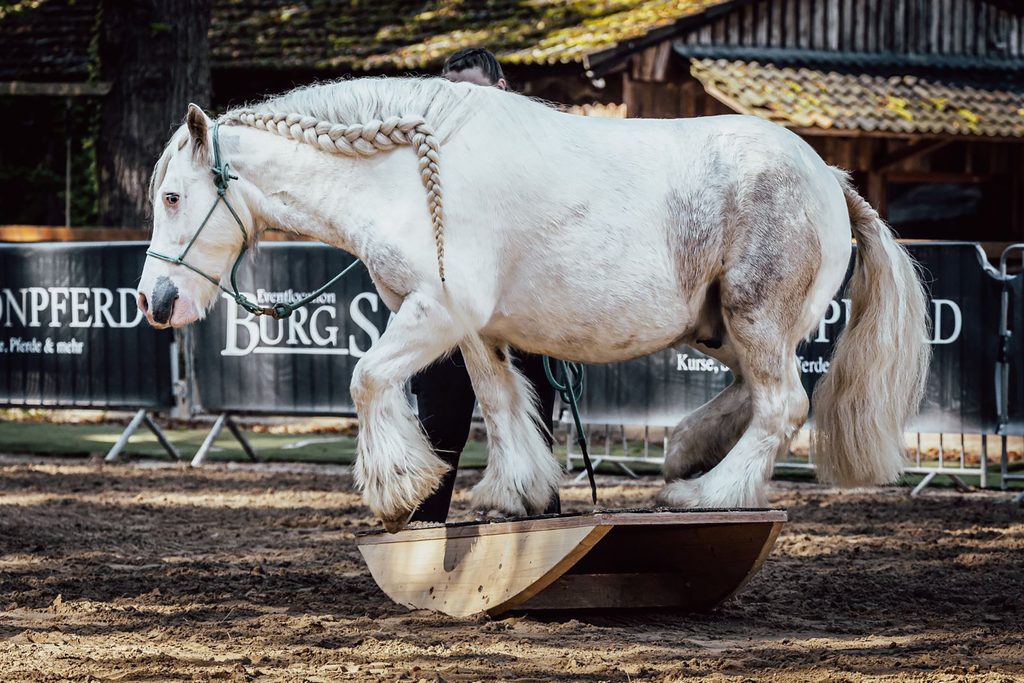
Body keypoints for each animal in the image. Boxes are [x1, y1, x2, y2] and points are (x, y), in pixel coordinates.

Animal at [138, 77, 930, 532]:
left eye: (173, 197)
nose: (156, 300)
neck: (407, 176)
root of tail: (831, 176)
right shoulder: (466, 327)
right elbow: (497, 402)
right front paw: (515, 491)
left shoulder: (434, 314)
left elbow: (367, 379)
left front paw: (397, 488)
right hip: (720, 330)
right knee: (758, 396)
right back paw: (687, 453)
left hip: (755, 317)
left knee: (783, 405)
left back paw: (710, 495)